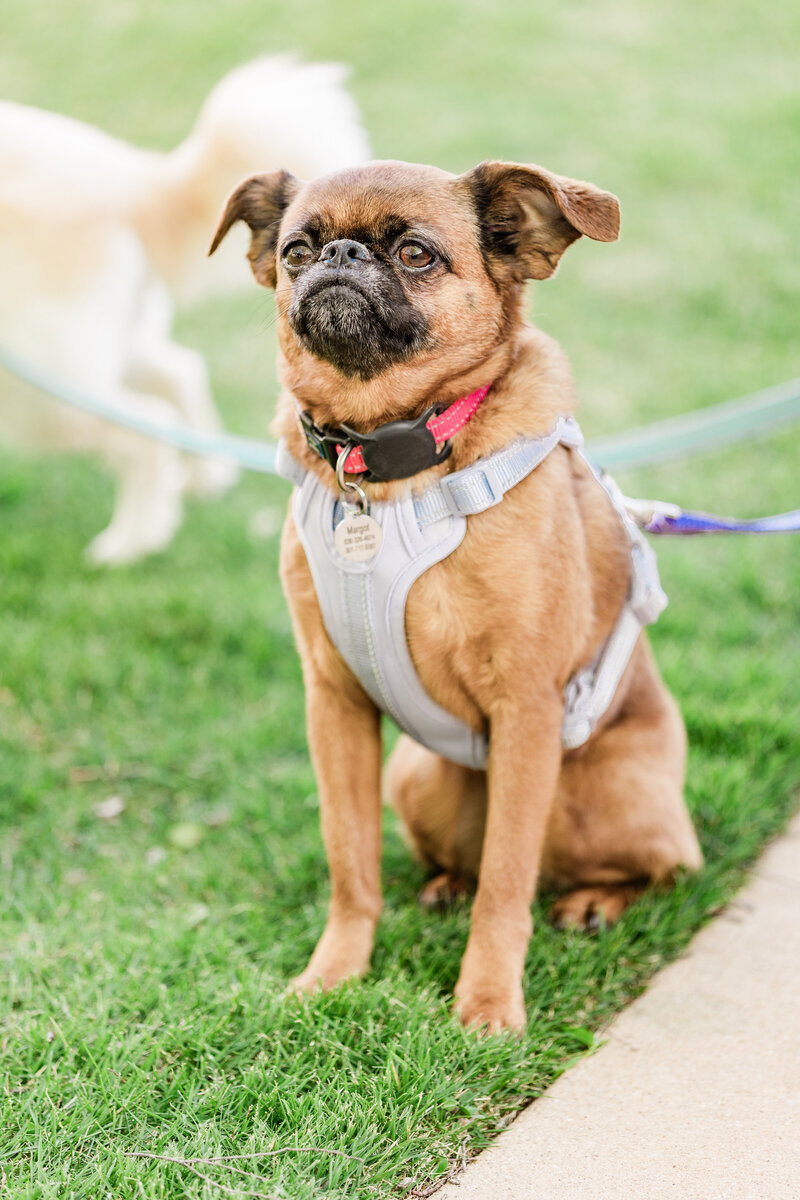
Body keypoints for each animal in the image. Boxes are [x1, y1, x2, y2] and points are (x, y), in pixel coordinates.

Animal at [0, 56, 369, 561]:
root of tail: (126, 183)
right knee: (180, 374)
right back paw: (203, 478)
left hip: (40, 391)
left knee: (148, 426)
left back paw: (131, 543)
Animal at [209, 159, 705, 1032]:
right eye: (297, 249)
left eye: (415, 253)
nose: (338, 254)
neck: (385, 471)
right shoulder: (333, 706)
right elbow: (351, 864)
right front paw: (333, 974)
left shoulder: (526, 710)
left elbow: (507, 883)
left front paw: (488, 1002)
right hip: (417, 776)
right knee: (469, 860)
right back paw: (445, 885)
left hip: (604, 793)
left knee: (657, 868)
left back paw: (595, 903)